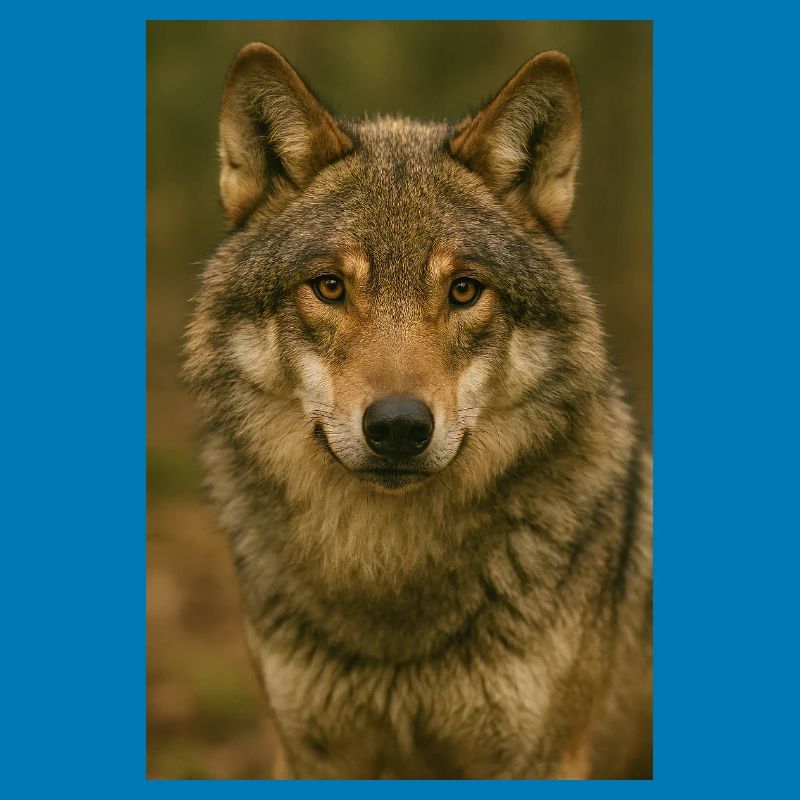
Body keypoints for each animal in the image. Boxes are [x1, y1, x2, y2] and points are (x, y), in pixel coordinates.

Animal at [183, 42, 652, 779]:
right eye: (329, 287)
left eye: (464, 290)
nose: (399, 426)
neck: (390, 579)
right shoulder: (311, 754)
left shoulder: (544, 757)